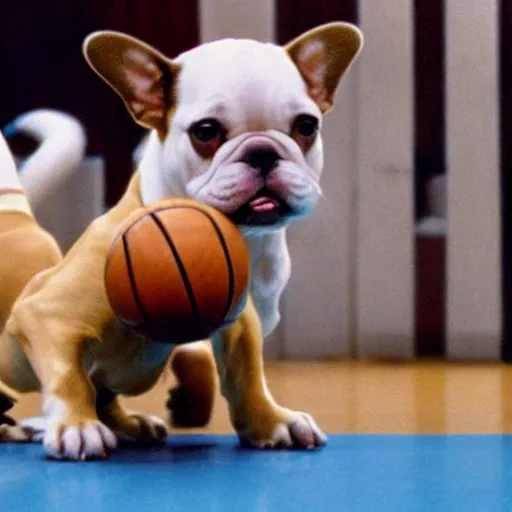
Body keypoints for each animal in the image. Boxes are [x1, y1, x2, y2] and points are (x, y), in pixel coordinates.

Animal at [0, 22, 362, 460]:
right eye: (205, 132)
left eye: (307, 126)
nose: (262, 150)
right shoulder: (47, 316)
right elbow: (67, 376)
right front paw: (76, 425)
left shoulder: (240, 327)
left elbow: (247, 375)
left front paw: (270, 421)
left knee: (105, 393)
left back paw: (128, 425)